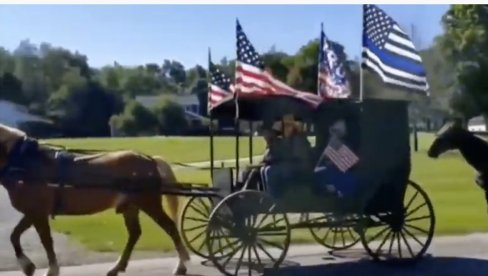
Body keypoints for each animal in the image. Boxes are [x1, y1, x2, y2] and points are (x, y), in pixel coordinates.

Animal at [0, 123, 190, 276]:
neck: (25, 162)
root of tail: (149, 159)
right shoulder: (32, 212)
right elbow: (14, 236)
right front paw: (28, 266)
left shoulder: (38, 212)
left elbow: (46, 241)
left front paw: (50, 269)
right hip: (131, 206)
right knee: (134, 233)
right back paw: (117, 267)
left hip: (149, 203)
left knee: (170, 228)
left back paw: (181, 266)